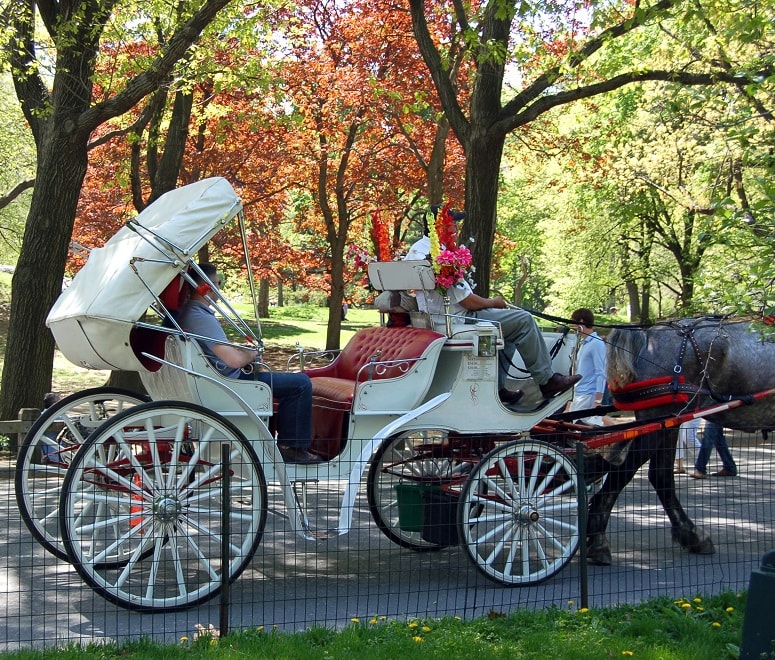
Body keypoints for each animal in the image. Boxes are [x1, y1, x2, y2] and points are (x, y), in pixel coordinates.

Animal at [588, 318, 775, 564]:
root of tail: (649, 335)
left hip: (667, 422)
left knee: (660, 476)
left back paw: (691, 535)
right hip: (658, 423)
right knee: (626, 473)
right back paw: (598, 540)